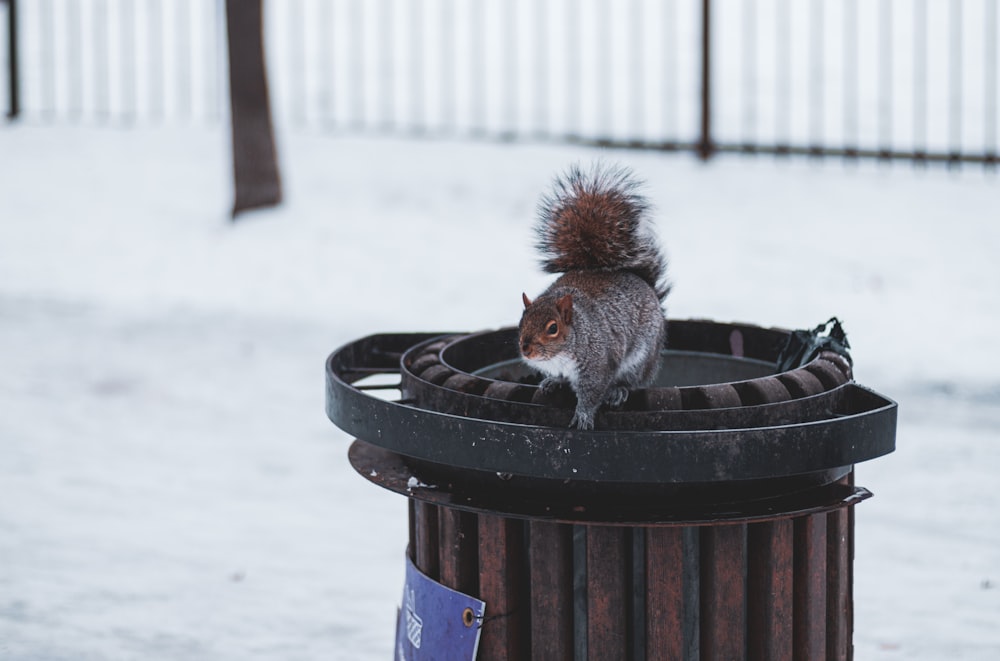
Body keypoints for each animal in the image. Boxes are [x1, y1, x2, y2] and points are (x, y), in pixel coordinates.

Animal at [520, 163, 668, 430]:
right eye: (521, 321)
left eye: (553, 328)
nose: (526, 350)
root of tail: (646, 286)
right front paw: (551, 381)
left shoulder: (597, 366)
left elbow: (591, 394)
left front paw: (583, 416)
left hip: (641, 357)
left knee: (631, 380)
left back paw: (619, 390)